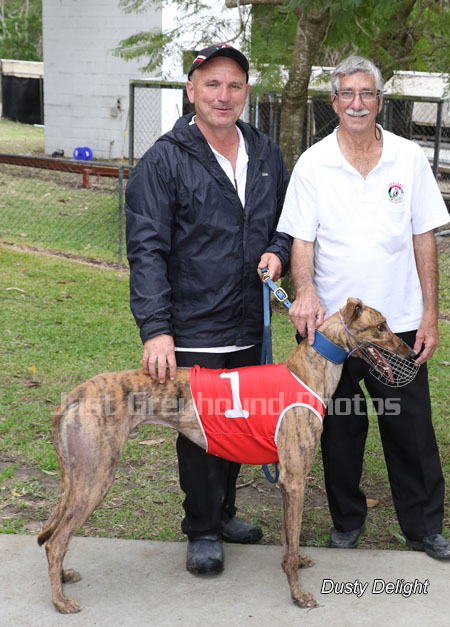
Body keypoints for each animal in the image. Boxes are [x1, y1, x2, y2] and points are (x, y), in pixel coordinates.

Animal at [38, 297, 415, 613]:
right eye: (381, 326)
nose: (412, 353)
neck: (309, 370)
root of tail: (76, 393)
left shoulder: (285, 480)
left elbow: (289, 539)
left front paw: (295, 562)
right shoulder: (295, 479)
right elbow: (291, 542)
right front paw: (297, 594)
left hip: (78, 478)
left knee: (54, 534)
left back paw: (63, 578)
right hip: (96, 477)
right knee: (55, 542)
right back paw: (60, 601)